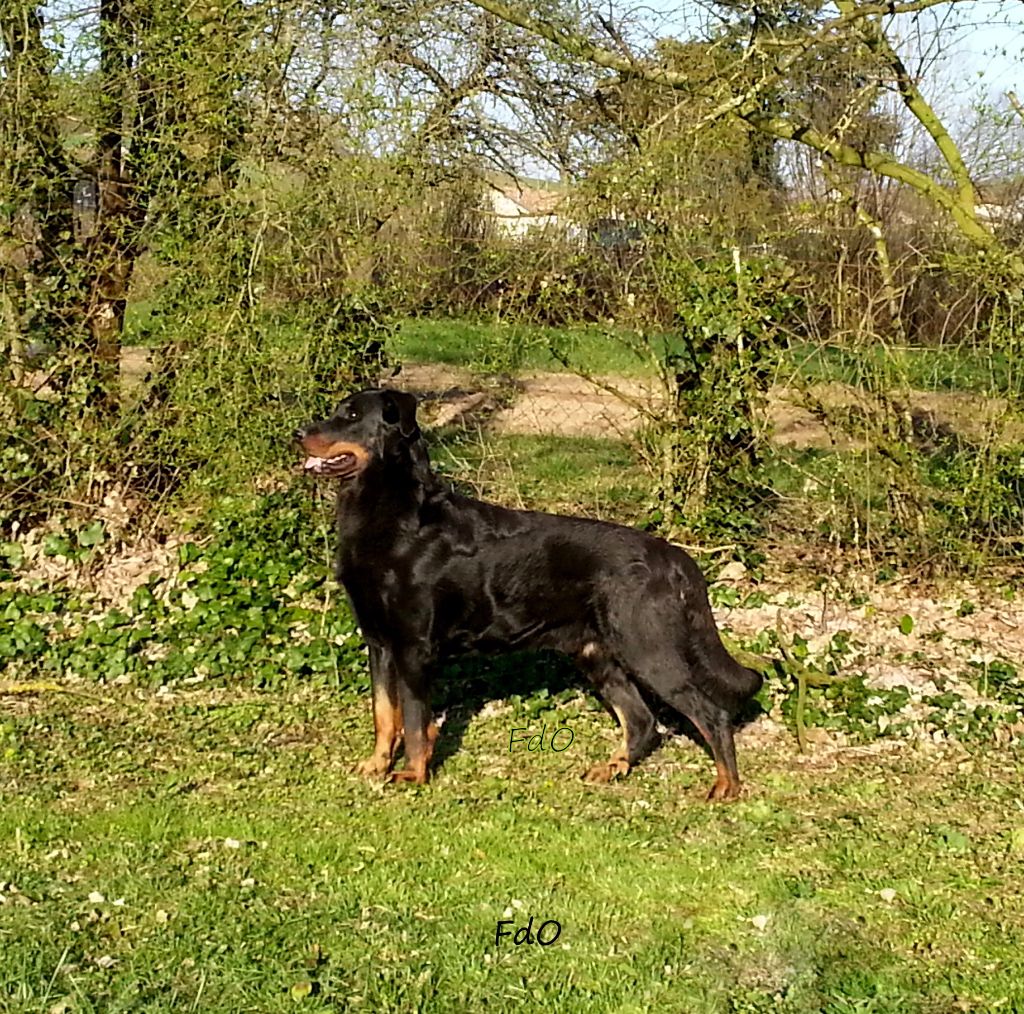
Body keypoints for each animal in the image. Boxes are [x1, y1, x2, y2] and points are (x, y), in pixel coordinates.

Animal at [296, 389, 761, 803]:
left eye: (351, 415)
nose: (298, 432)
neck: (393, 516)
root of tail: (675, 557)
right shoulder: (378, 641)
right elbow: (383, 713)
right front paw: (376, 765)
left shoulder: (413, 647)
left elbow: (411, 719)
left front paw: (412, 774)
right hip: (596, 654)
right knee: (642, 720)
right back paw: (612, 768)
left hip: (649, 647)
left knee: (710, 713)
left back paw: (726, 786)